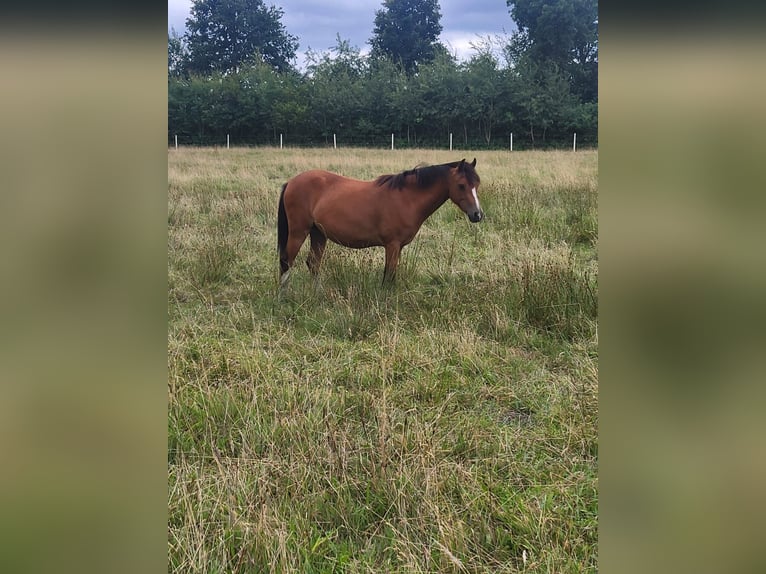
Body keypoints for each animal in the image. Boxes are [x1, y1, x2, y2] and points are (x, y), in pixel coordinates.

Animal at [277, 158, 483, 286]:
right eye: (461, 185)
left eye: (477, 184)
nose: (477, 214)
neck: (407, 197)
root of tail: (291, 182)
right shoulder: (392, 245)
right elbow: (388, 275)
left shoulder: (398, 247)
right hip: (299, 232)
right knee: (287, 261)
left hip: (318, 233)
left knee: (313, 263)